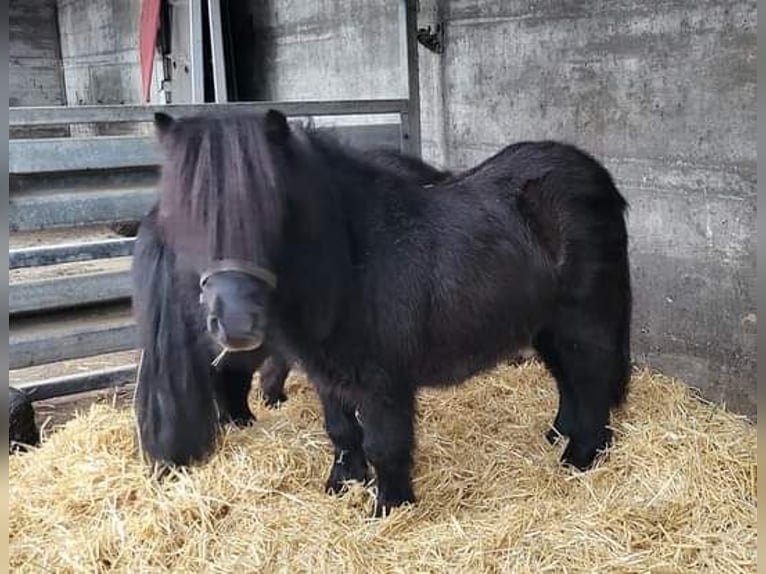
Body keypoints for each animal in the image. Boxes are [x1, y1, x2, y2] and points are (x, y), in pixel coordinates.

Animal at [142, 110, 632, 516]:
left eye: (272, 210)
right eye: (186, 216)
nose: (236, 322)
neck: (353, 259)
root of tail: (597, 177)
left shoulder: (383, 380)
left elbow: (384, 444)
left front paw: (390, 507)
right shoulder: (327, 373)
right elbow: (341, 431)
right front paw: (342, 484)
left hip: (583, 319)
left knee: (590, 380)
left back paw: (580, 457)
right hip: (547, 324)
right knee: (568, 379)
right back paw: (560, 434)